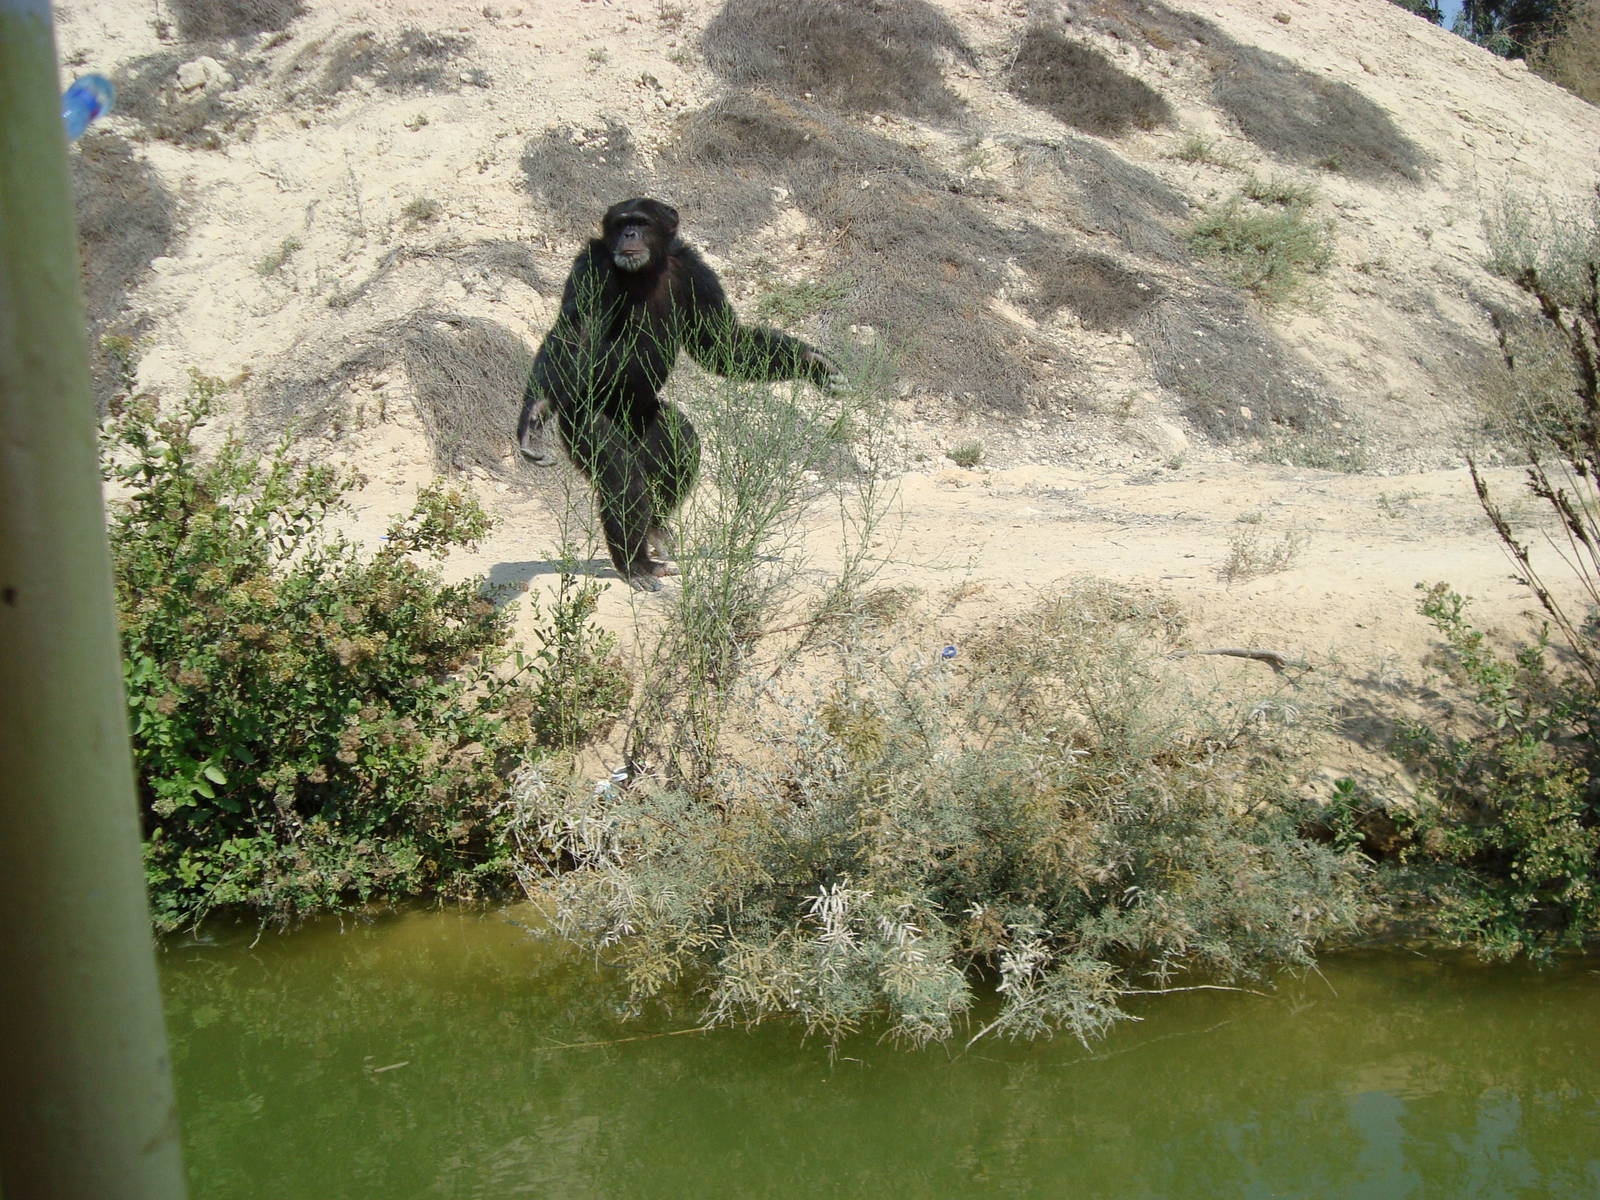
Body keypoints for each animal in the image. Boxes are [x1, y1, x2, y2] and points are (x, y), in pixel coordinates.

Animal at [518, 197, 842, 591]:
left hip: (648, 417)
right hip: (582, 414)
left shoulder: (695, 271)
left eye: (642, 222)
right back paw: (635, 564)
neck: (647, 270)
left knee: (681, 444)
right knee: (619, 475)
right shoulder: (591, 265)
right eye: (622, 223)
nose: (629, 234)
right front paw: (535, 414)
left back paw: (655, 529)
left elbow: (721, 343)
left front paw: (814, 365)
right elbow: (573, 332)